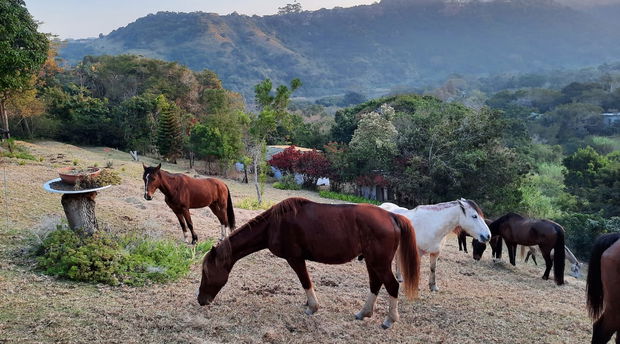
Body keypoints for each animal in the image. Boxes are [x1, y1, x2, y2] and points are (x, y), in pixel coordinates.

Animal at [197, 198, 422, 330]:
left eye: (206, 273)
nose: (201, 300)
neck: (274, 224)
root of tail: (392, 216)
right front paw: (308, 304)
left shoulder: (295, 259)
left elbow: (305, 282)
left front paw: (312, 307)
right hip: (371, 261)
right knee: (375, 284)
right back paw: (364, 313)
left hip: (379, 262)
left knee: (392, 286)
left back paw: (389, 320)